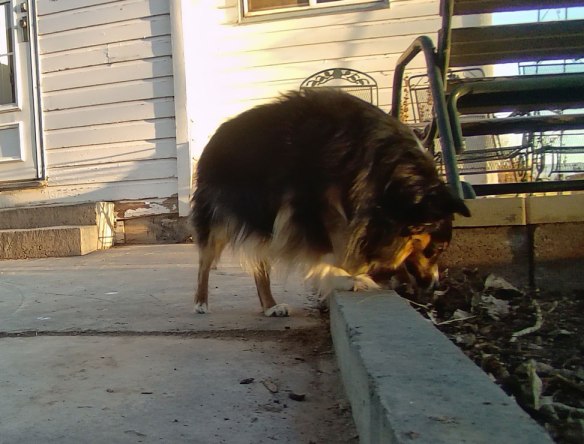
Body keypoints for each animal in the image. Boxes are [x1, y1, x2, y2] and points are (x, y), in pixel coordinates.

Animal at [190, 89, 470, 316]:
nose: (435, 285)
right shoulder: (309, 205)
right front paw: (346, 276)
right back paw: (201, 302)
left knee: (260, 262)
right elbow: (330, 247)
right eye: (435, 250)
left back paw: (270, 306)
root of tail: (214, 137)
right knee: (205, 262)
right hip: (221, 216)